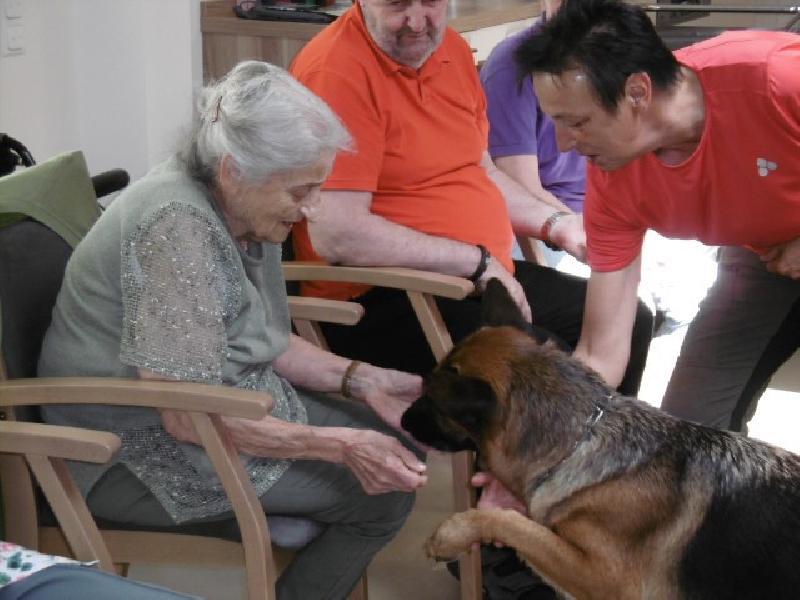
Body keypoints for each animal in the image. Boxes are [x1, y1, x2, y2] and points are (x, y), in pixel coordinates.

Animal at [404, 282, 800, 600]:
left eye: (430, 400)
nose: (403, 420)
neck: (584, 436)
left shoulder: (604, 577)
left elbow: (512, 522)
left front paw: (452, 533)